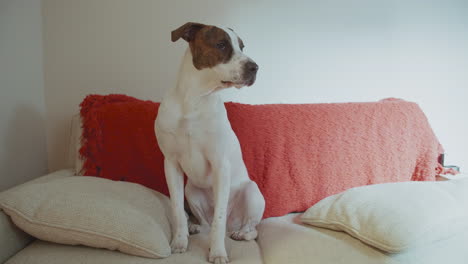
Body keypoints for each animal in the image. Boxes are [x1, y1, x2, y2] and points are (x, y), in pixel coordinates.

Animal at [155, 22, 266, 264]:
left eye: (242, 46)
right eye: (221, 44)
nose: (255, 67)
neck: (194, 99)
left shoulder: (220, 164)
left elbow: (219, 219)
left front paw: (217, 252)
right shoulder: (171, 164)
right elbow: (177, 210)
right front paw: (179, 242)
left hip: (252, 192)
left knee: (251, 228)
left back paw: (241, 233)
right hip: (192, 190)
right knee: (206, 223)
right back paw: (195, 227)